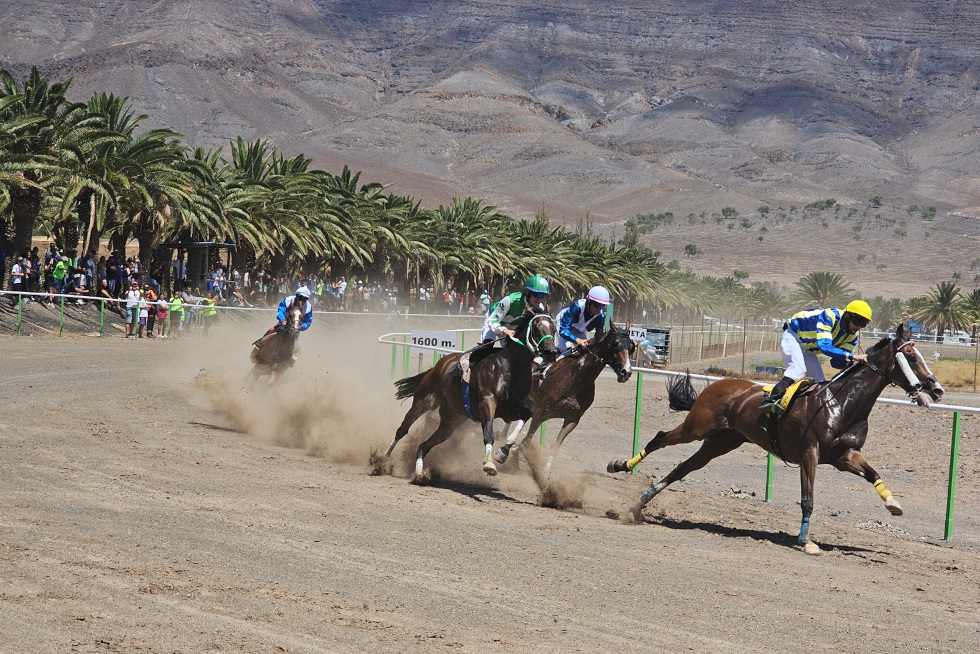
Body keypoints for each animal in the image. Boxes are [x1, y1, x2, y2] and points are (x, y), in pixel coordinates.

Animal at [387, 306, 560, 479]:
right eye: (537, 328)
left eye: (554, 329)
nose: (551, 351)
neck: (510, 368)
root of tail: (439, 365)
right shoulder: (487, 403)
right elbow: (489, 434)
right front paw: (489, 463)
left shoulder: (509, 410)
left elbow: (526, 415)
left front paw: (502, 453)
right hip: (424, 401)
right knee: (402, 429)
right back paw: (385, 461)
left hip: (451, 421)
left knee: (424, 445)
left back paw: (419, 472)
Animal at [492, 322, 636, 471]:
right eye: (616, 343)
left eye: (632, 346)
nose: (626, 372)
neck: (577, 379)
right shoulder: (541, 411)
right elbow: (526, 440)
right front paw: (504, 452)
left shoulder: (572, 418)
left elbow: (553, 446)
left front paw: (545, 474)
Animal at [606, 324, 944, 554]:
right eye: (911, 356)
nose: (937, 388)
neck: (842, 403)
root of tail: (717, 385)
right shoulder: (809, 453)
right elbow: (808, 498)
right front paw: (805, 540)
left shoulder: (844, 455)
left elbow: (873, 472)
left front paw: (893, 503)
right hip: (697, 427)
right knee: (661, 438)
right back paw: (620, 465)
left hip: (720, 442)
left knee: (682, 469)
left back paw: (640, 503)